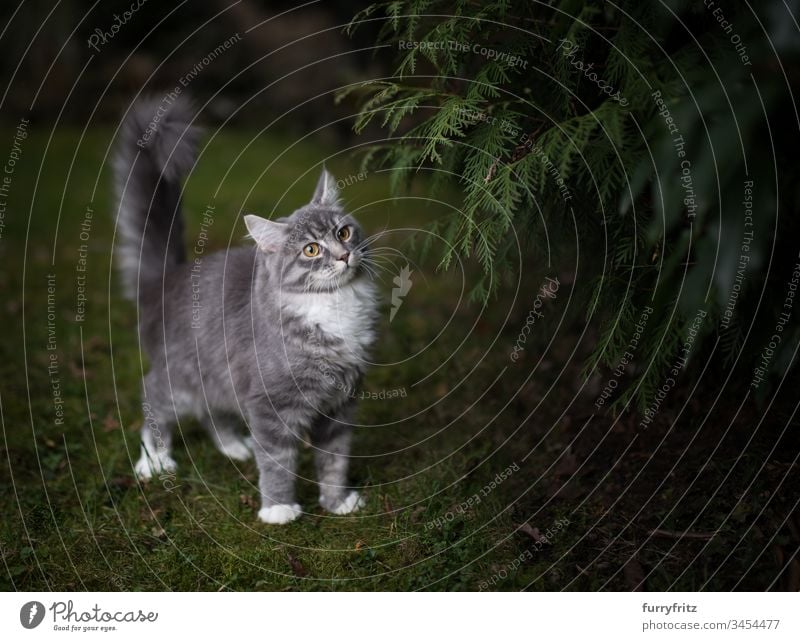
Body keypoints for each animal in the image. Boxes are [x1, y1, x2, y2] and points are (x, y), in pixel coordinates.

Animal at [111, 97, 382, 524]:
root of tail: (167, 278)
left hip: (220, 376)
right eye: (311, 250)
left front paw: (337, 502)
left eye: (344, 232)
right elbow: (277, 461)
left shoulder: (340, 405)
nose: (344, 255)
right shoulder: (271, 404)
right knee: (154, 396)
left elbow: (335, 461)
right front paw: (279, 509)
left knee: (212, 412)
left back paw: (235, 446)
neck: (333, 305)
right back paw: (154, 460)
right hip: (183, 374)